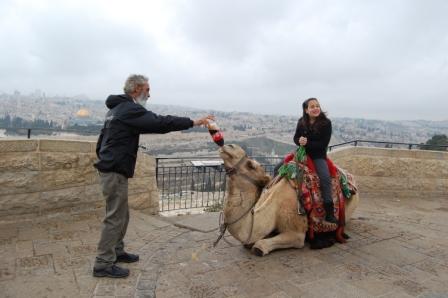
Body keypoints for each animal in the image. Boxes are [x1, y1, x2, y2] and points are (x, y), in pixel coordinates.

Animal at [218, 143, 360, 255]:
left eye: (250, 165)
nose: (229, 146)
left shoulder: (296, 233)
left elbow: (260, 244)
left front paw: (259, 247)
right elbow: (251, 241)